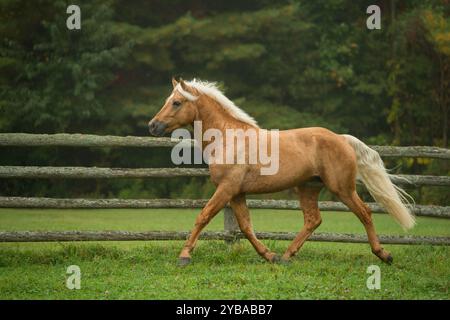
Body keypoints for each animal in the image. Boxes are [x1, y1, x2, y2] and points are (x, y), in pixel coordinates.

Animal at [149, 77, 414, 264]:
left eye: (176, 102)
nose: (153, 126)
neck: (228, 138)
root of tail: (341, 138)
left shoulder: (227, 189)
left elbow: (203, 217)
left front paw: (184, 256)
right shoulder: (237, 193)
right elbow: (246, 227)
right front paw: (269, 256)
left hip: (343, 189)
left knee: (365, 213)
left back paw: (384, 254)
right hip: (308, 188)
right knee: (313, 220)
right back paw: (286, 256)